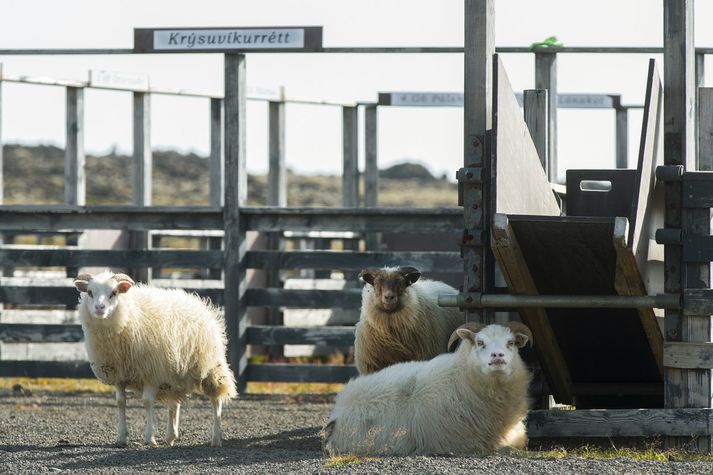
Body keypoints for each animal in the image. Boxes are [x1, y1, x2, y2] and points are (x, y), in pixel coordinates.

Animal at [74, 272, 238, 450]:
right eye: (90, 292)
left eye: (114, 293)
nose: (99, 308)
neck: (129, 316)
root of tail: (199, 302)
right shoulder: (119, 375)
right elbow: (120, 402)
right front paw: (121, 438)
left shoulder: (152, 373)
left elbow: (147, 402)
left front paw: (149, 438)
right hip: (174, 373)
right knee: (174, 403)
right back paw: (171, 436)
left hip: (210, 367)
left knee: (216, 399)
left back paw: (216, 438)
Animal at [326, 322, 532, 456]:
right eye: (480, 342)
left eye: (510, 343)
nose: (498, 356)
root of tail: (337, 410)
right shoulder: (464, 443)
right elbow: (505, 449)